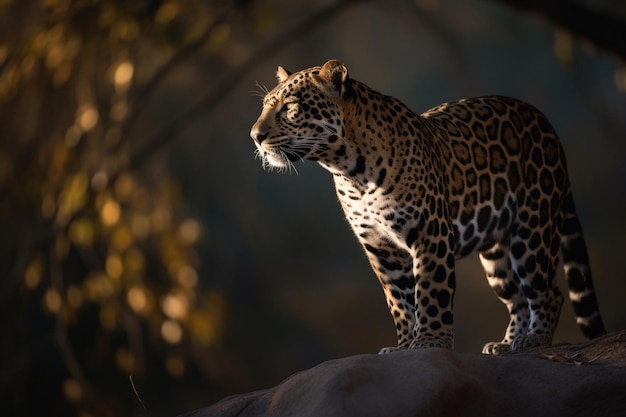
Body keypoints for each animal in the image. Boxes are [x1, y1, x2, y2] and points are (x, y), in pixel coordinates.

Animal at [250, 57, 604, 352]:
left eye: (290, 107)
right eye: (266, 106)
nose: (255, 136)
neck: (350, 172)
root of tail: (546, 122)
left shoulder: (429, 231)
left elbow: (431, 290)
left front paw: (431, 340)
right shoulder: (381, 249)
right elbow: (400, 302)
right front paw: (405, 345)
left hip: (531, 230)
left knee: (548, 293)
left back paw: (535, 339)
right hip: (497, 252)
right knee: (516, 298)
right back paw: (506, 344)